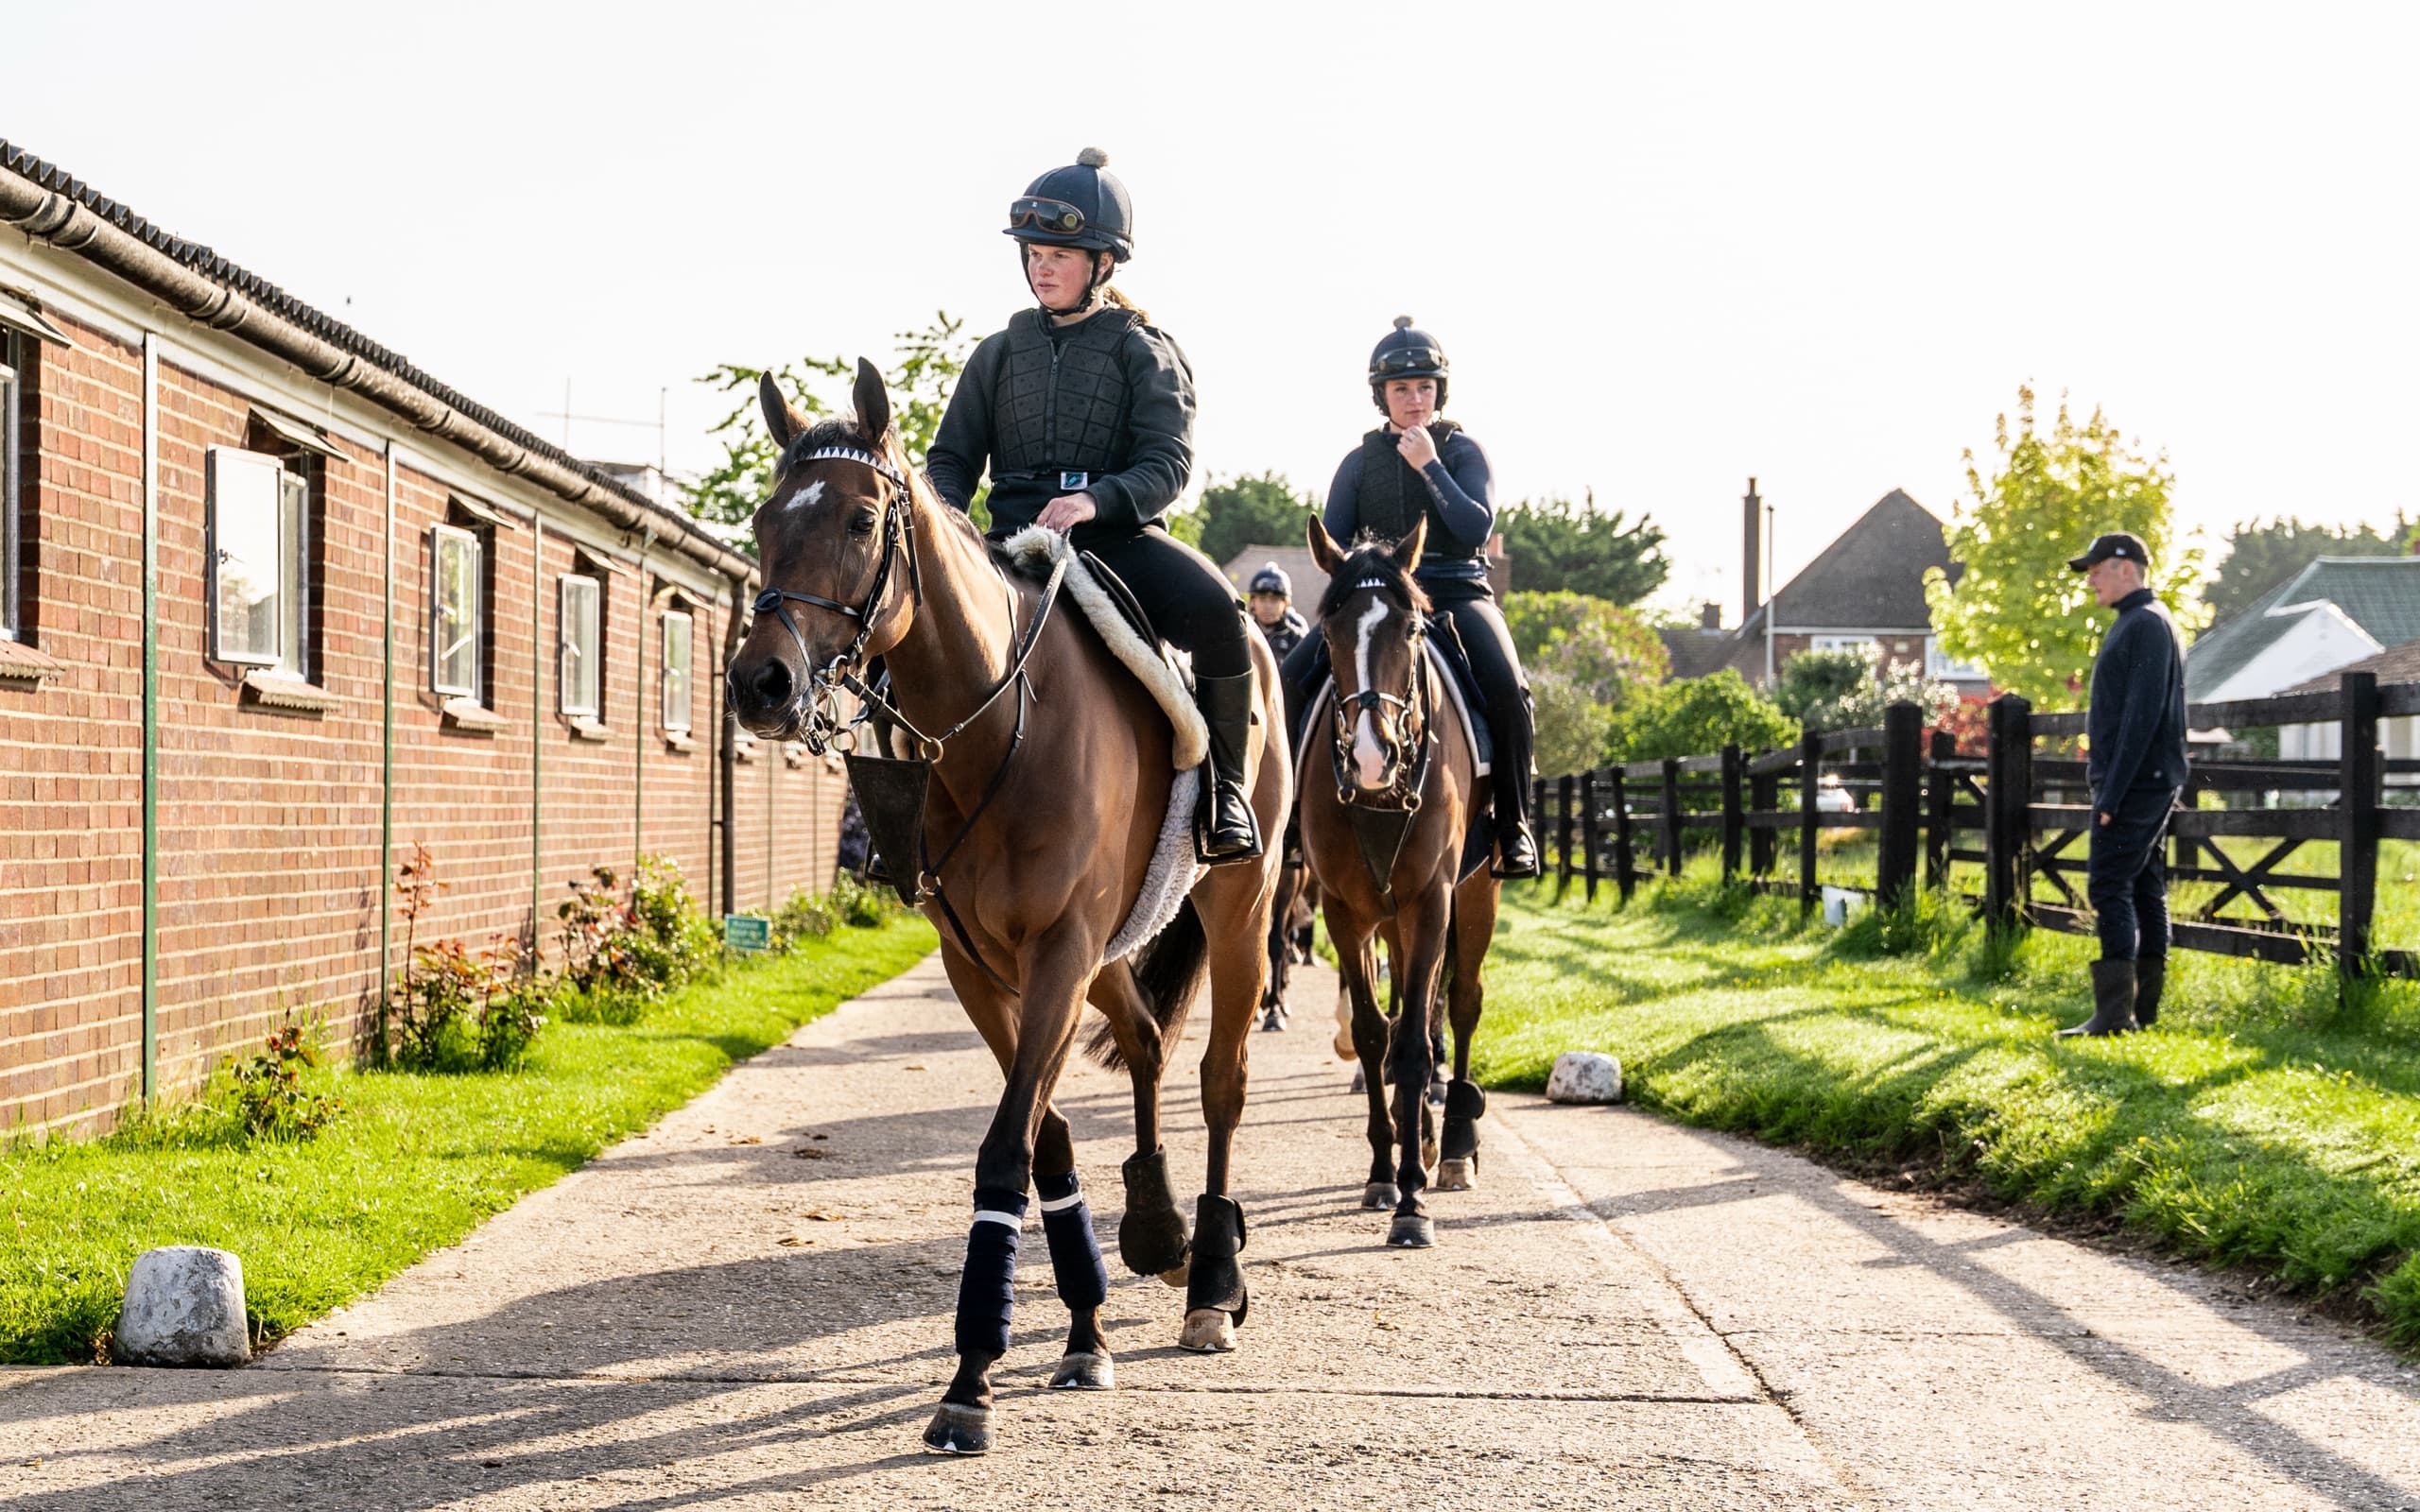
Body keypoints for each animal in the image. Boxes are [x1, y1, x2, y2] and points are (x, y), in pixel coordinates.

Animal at [725, 362, 1288, 1455]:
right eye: (768, 518)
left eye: (861, 519)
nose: (759, 682)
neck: (998, 724)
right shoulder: (982, 964)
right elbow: (1046, 1137)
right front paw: (1083, 1329)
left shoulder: (1057, 954)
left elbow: (1005, 1147)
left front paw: (972, 1377)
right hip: (1111, 952)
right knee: (1147, 1040)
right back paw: (1157, 1228)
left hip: (1237, 912)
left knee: (1220, 1080)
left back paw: (1211, 1284)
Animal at [1295, 516, 1500, 1248]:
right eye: (1330, 630)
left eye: (1410, 629)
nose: (1369, 756)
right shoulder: (1344, 910)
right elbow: (1372, 1032)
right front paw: (1384, 1174)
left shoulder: (1431, 901)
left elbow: (1413, 1045)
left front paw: (1412, 1201)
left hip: (1475, 895)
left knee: (1461, 1005)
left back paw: (1458, 1144)